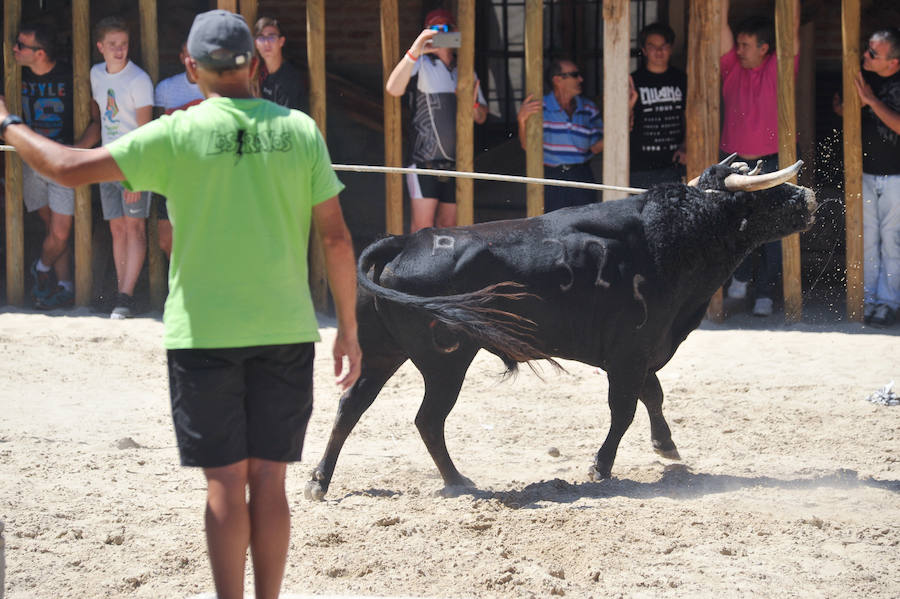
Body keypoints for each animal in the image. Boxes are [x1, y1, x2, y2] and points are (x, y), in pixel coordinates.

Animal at [306, 159, 820, 502]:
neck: (672, 233)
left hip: (381, 351)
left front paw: (667, 447)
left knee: (351, 405)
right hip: (446, 361)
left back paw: (319, 482)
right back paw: (457, 481)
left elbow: (652, 396)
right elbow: (624, 409)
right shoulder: (631, 351)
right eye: (767, 192)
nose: (809, 197)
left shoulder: (638, 352)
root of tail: (404, 241)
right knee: (428, 419)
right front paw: (601, 467)